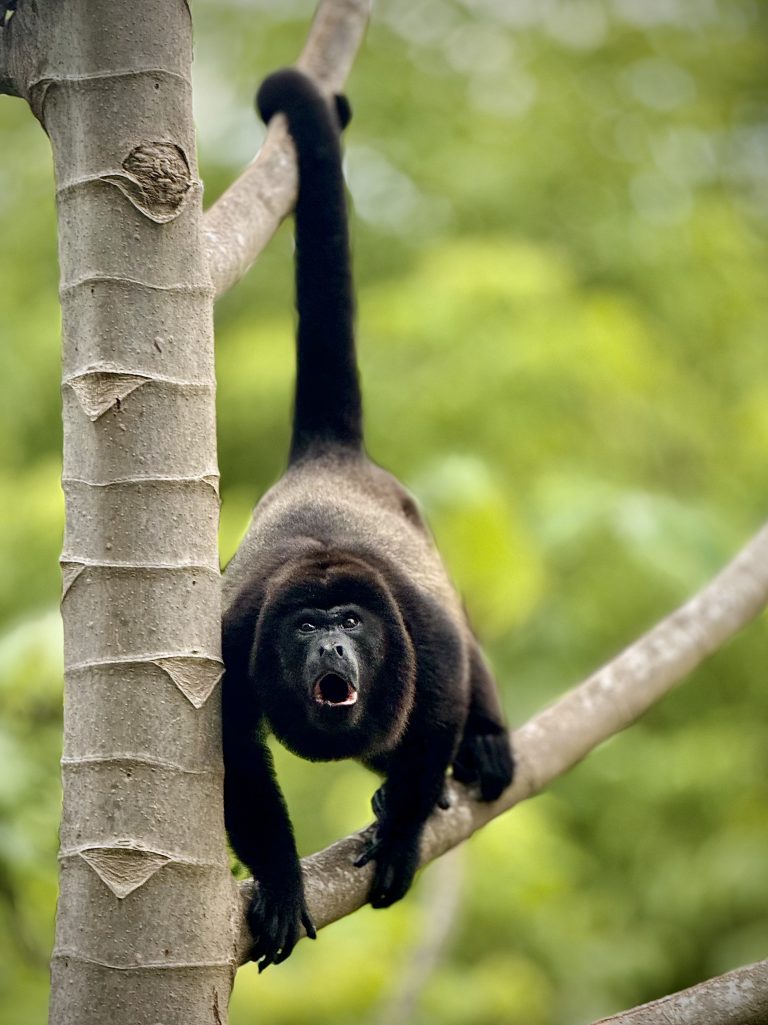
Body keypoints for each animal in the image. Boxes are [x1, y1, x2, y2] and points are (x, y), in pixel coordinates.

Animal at [218, 70, 512, 967]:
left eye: (350, 618)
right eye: (305, 625)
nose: (333, 646)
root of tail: (329, 457)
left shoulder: (417, 624)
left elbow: (438, 710)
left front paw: (403, 834)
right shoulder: (236, 634)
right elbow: (236, 758)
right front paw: (280, 884)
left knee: (460, 664)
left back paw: (488, 741)